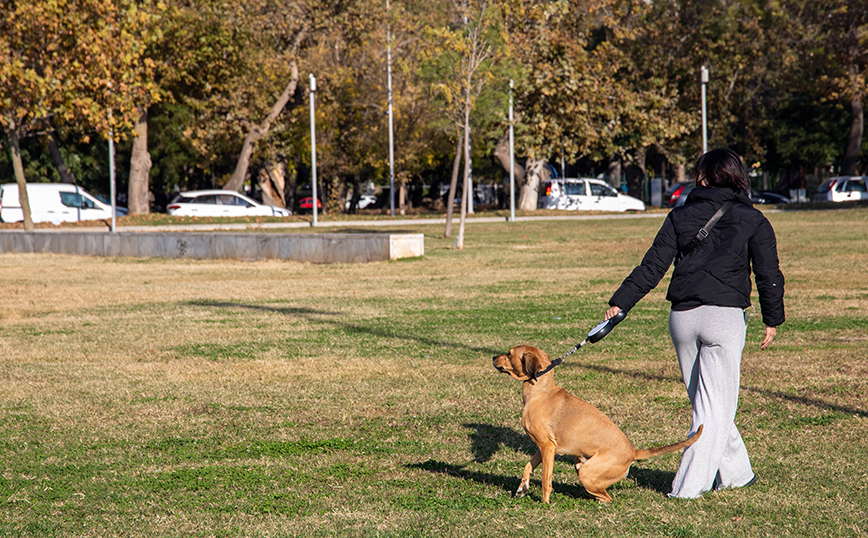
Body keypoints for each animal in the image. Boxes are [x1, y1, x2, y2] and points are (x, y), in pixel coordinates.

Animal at [492, 346, 700, 500]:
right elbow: (528, 466)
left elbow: (545, 480)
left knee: (606, 497)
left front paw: (545, 503)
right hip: (581, 465)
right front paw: (522, 487)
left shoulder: (547, 447)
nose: (493, 356)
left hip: (586, 472)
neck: (541, 391)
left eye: (509, 354)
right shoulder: (545, 447)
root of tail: (633, 452)